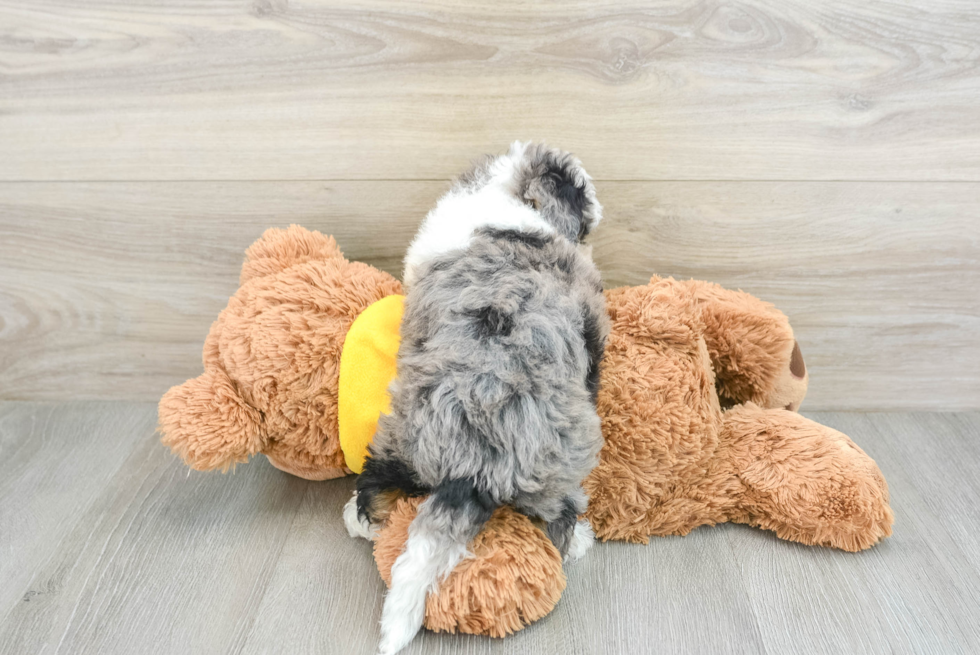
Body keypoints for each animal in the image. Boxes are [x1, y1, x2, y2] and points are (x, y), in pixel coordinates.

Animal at [344, 144, 604, 655]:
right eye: (581, 191)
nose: (596, 216)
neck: (502, 196)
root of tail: (473, 460)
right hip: (558, 472)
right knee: (559, 518)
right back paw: (580, 540)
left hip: (402, 436)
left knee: (377, 483)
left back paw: (360, 519)